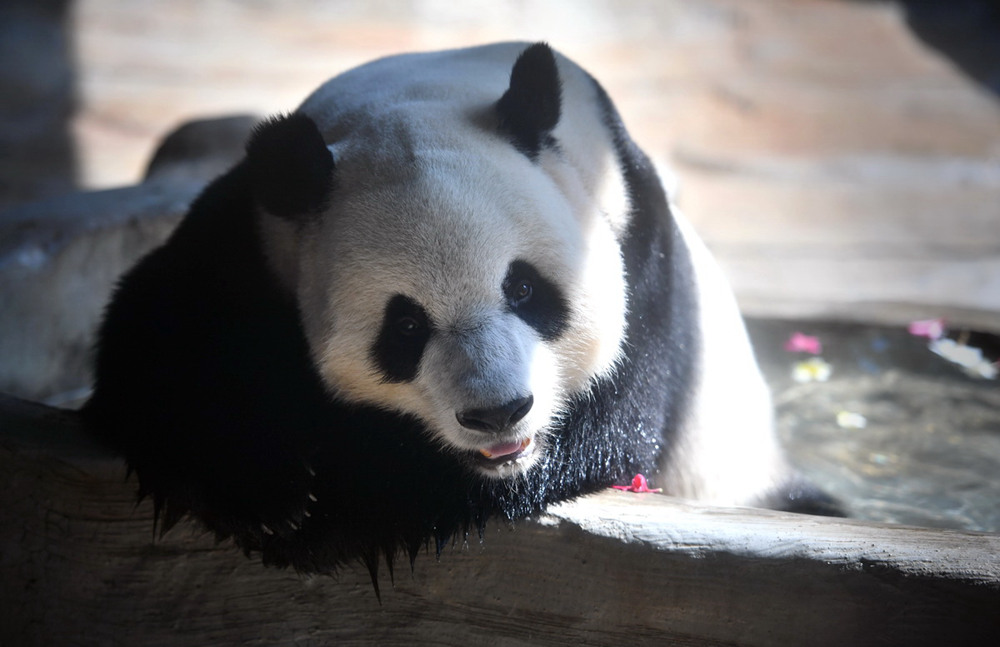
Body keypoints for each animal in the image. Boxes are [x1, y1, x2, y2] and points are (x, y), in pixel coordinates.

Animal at [82, 41, 836, 588]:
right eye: (406, 326)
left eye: (524, 289)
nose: (499, 412)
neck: (430, 93)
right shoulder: (259, 234)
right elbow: (156, 345)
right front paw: (267, 489)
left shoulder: (636, 247)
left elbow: (606, 421)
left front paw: (334, 515)